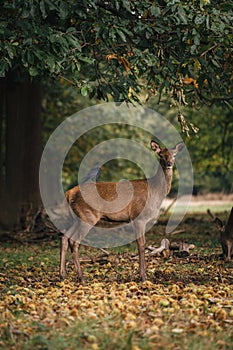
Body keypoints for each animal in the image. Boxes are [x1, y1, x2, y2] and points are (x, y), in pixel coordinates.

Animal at [59, 139, 185, 282]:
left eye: (174, 155)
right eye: (161, 155)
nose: (169, 164)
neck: (155, 191)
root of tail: (69, 193)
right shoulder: (139, 216)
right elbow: (141, 245)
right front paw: (143, 276)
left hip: (78, 217)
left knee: (64, 237)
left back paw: (63, 275)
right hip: (87, 216)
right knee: (74, 241)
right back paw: (81, 277)